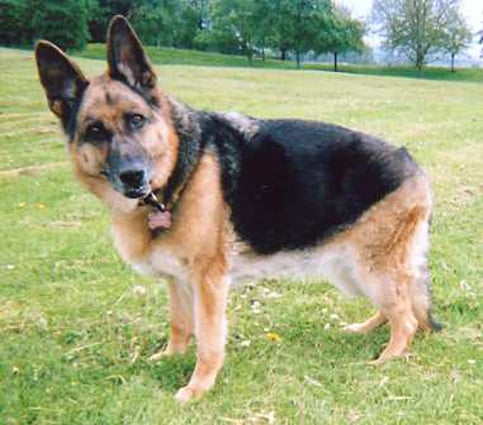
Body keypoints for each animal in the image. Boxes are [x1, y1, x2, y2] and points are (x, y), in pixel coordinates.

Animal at [35, 15, 440, 403]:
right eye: (95, 130)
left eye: (136, 119)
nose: (133, 176)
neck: (180, 171)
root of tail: (411, 162)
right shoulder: (176, 280)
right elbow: (180, 325)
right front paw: (169, 358)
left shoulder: (208, 281)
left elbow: (208, 340)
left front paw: (198, 388)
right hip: (353, 270)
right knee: (399, 307)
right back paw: (365, 330)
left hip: (368, 268)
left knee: (406, 318)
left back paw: (387, 360)